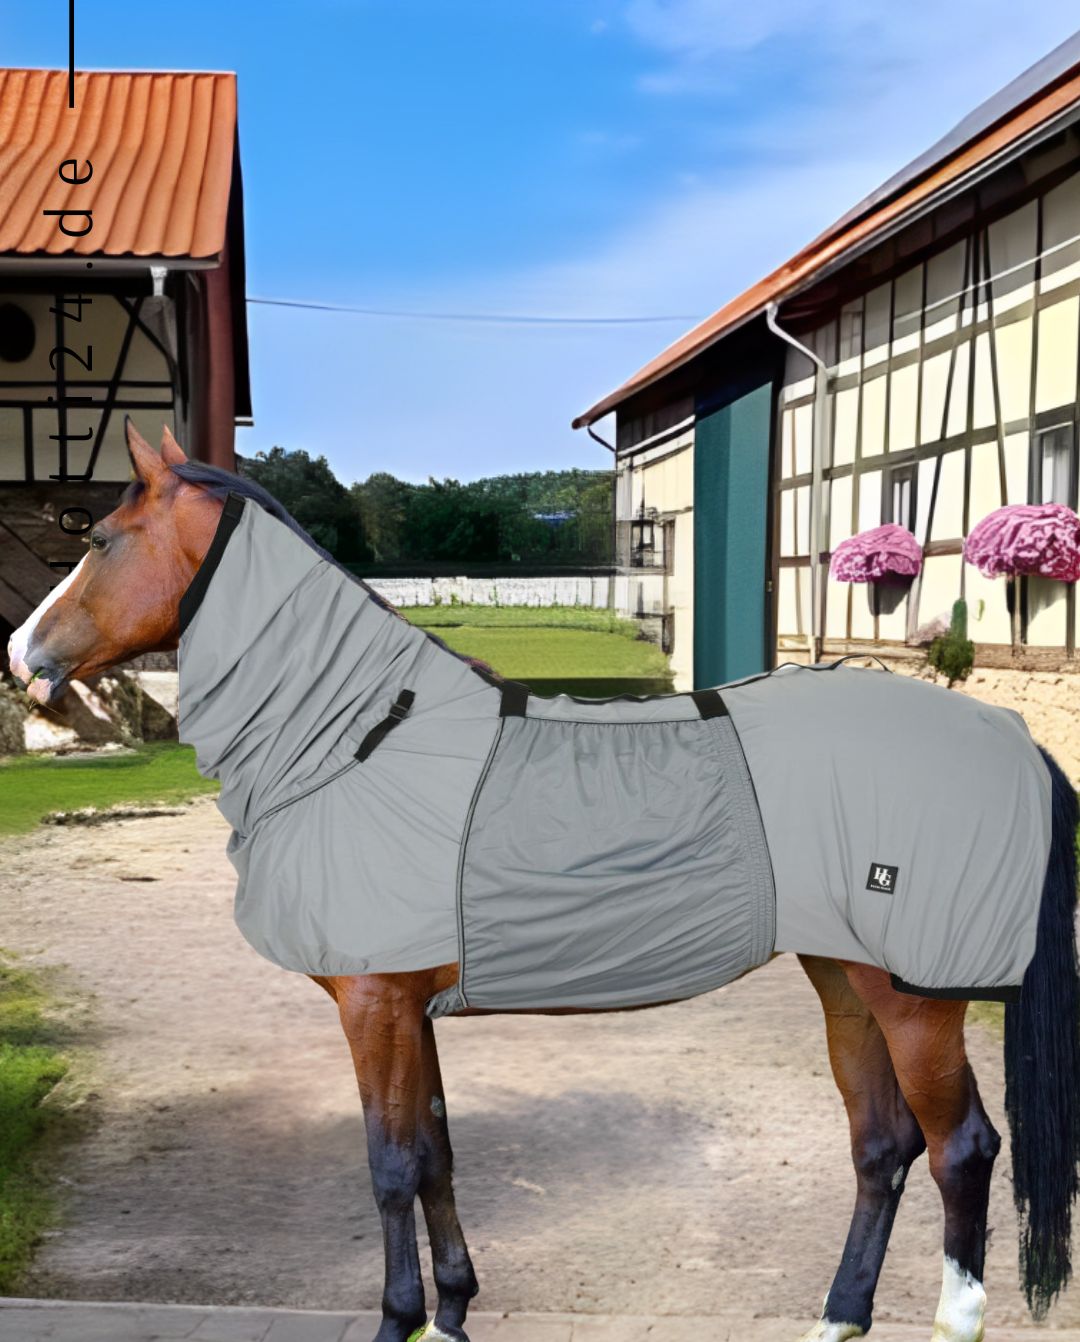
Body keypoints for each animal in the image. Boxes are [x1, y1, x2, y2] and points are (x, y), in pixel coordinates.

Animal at [6, 417, 1080, 1342]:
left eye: (99, 539)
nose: (22, 656)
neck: (361, 736)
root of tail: (1006, 734)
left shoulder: (372, 1005)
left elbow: (390, 1164)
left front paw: (399, 1319)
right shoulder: (409, 1009)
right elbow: (436, 1151)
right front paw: (451, 1311)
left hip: (916, 996)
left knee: (961, 1149)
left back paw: (950, 1319)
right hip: (842, 978)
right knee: (882, 1144)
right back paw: (837, 1316)